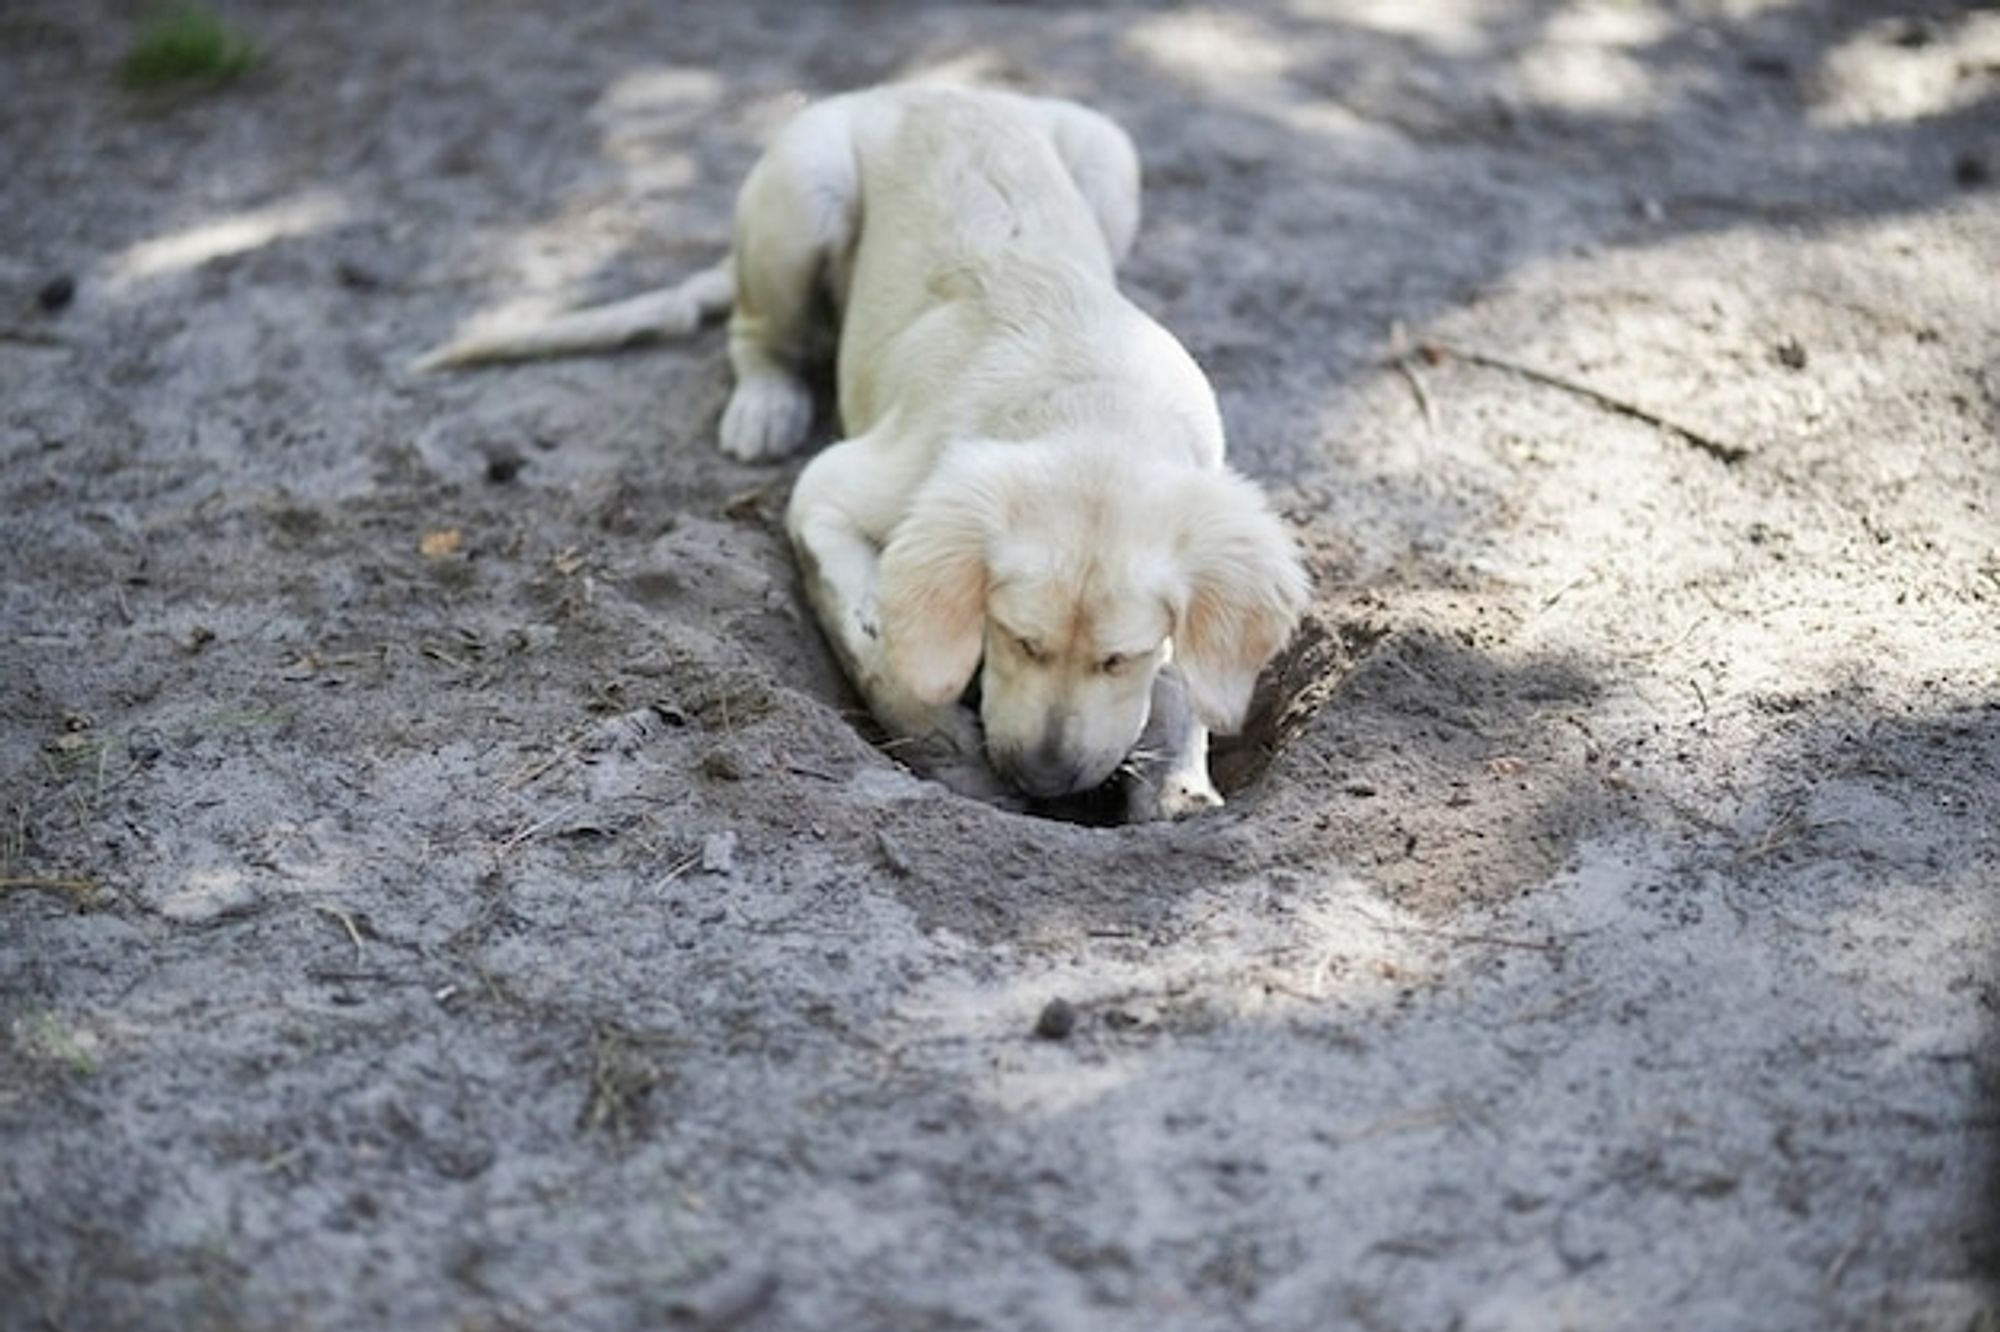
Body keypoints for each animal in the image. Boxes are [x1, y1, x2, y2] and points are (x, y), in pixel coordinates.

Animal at [418, 88, 1312, 816]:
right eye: (1016, 638)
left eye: (1121, 657)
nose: (1044, 782)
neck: (1091, 407)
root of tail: (928, 87)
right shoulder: (831, 488)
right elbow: (880, 645)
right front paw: (944, 743)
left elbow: (1186, 685)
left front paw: (1181, 782)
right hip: (803, 195)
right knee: (756, 332)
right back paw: (767, 403)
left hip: (1107, 158)